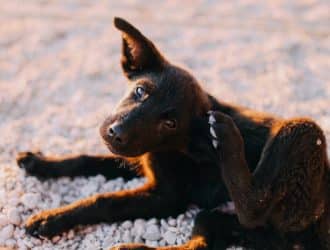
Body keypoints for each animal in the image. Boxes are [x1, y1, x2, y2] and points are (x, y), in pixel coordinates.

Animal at [16, 18, 328, 250]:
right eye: (140, 91)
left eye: (170, 123)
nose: (115, 133)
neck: (174, 147)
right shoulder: (137, 159)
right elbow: (85, 159)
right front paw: (39, 162)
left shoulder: (166, 196)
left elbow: (106, 200)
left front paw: (51, 219)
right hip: (228, 222)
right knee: (202, 240)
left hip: (302, 134)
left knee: (253, 206)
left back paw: (225, 136)